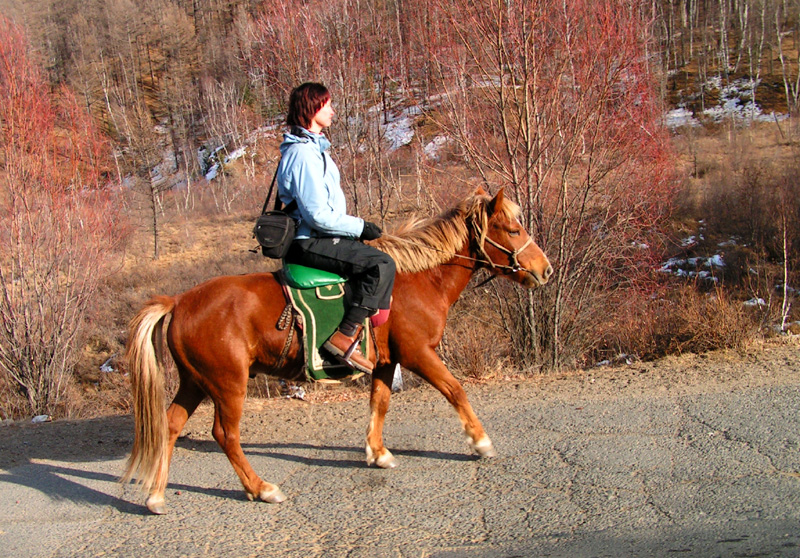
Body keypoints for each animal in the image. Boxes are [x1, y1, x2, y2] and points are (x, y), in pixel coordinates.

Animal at [122, 189, 552, 516]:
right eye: (513, 229)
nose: (544, 269)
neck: (416, 279)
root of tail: (179, 301)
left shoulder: (387, 362)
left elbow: (379, 403)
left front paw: (378, 453)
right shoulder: (419, 355)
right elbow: (456, 390)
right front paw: (481, 442)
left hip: (195, 382)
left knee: (170, 425)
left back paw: (156, 495)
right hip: (227, 384)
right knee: (225, 435)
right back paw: (261, 488)